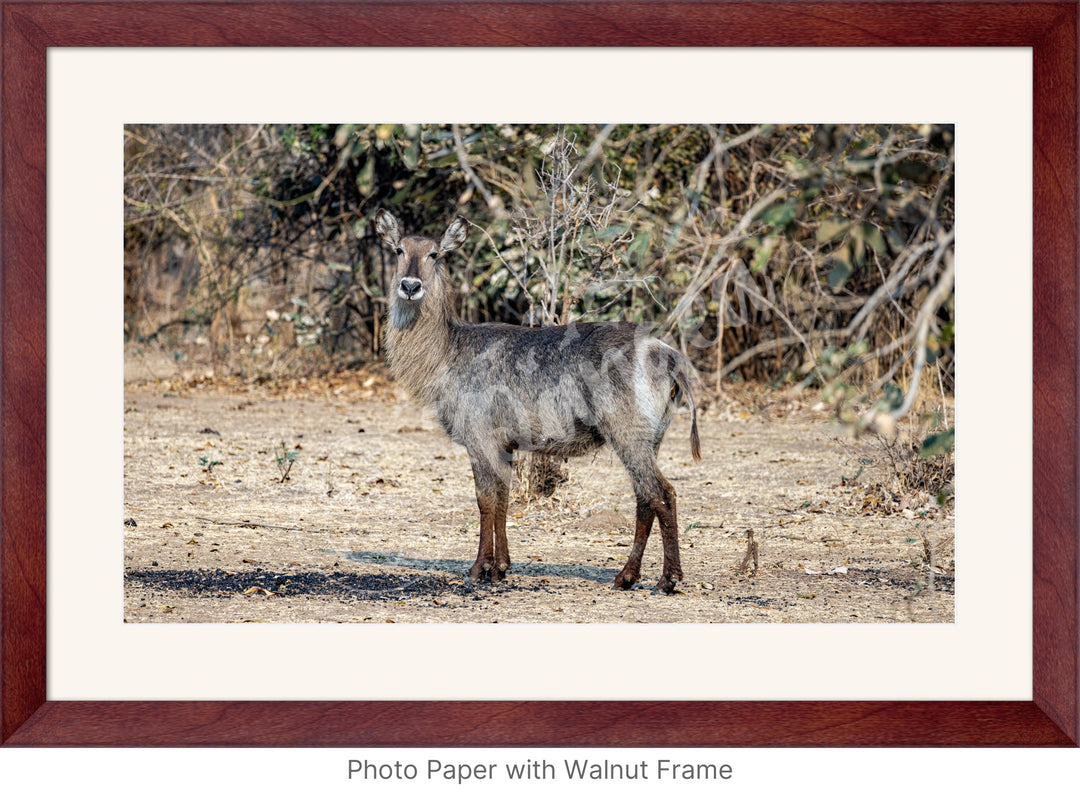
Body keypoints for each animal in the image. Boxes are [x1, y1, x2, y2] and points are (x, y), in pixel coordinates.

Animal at [378, 210, 699, 591]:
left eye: (434, 254)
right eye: (398, 250)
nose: (410, 286)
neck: (448, 351)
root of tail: (667, 353)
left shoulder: (479, 436)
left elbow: (485, 500)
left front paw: (479, 569)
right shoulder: (505, 443)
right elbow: (503, 499)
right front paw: (501, 567)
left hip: (627, 433)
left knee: (662, 493)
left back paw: (669, 578)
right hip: (652, 438)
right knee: (644, 499)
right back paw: (626, 576)